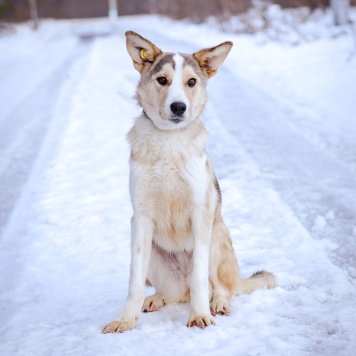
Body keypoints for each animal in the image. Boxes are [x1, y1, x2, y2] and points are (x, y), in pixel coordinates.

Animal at [102, 31, 276, 334]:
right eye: (162, 80)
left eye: (191, 82)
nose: (179, 107)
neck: (169, 141)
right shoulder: (141, 219)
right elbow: (134, 282)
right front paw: (125, 321)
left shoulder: (200, 214)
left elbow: (199, 279)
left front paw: (200, 316)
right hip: (153, 252)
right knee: (173, 293)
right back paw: (156, 299)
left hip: (216, 236)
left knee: (218, 287)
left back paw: (217, 304)